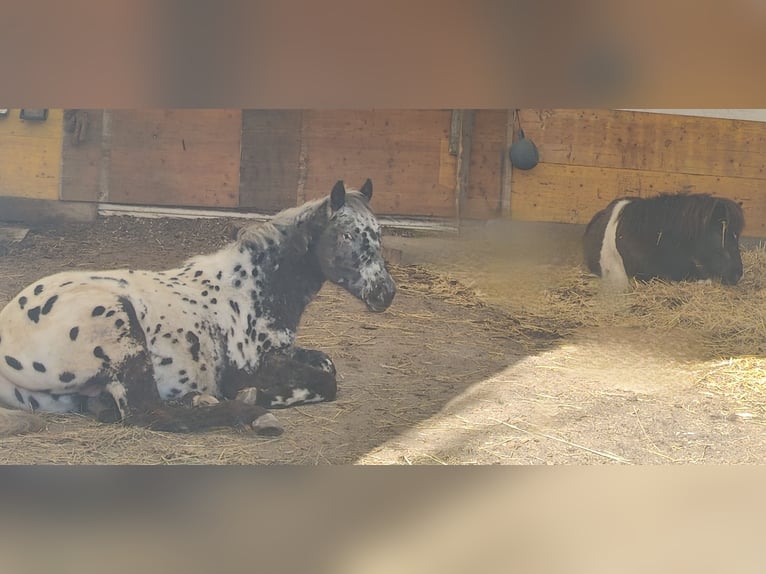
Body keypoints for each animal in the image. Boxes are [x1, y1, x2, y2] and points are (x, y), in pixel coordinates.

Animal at [0, 179, 400, 436]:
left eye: (379, 234)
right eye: (346, 234)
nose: (385, 293)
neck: (251, 286)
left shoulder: (284, 352)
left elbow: (326, 363)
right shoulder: (252, 369)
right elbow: (325, 382)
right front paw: (259, 397)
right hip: (119, 326)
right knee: (152, 414)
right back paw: (249, 414)